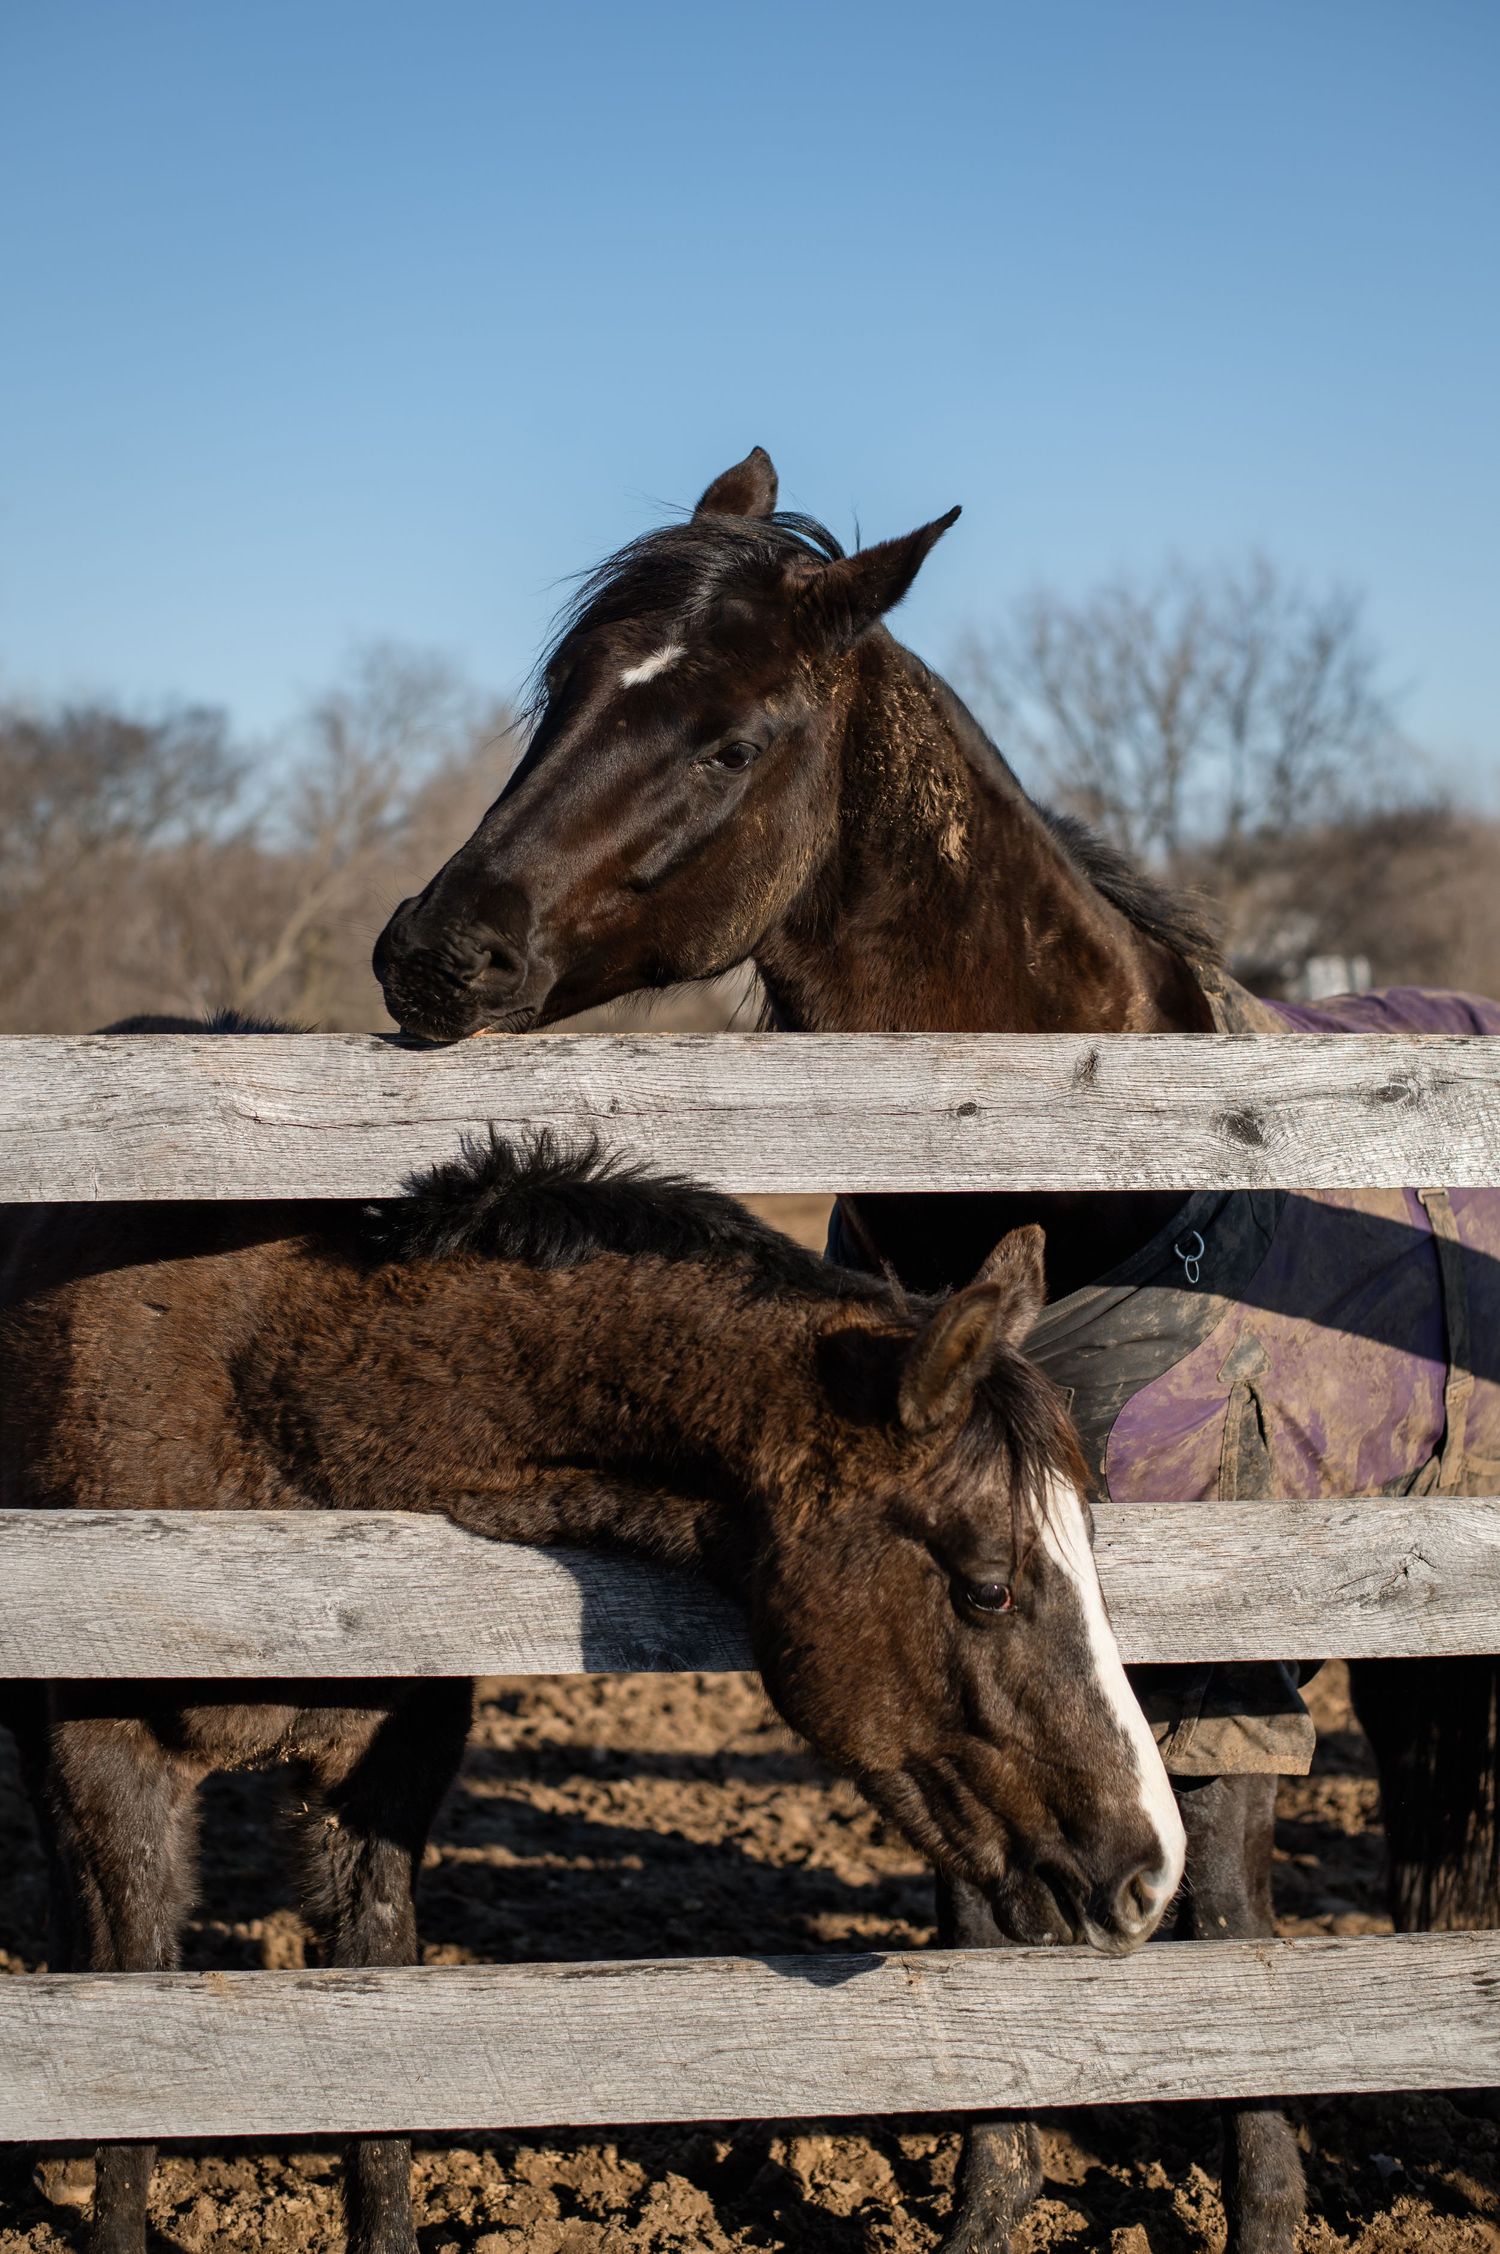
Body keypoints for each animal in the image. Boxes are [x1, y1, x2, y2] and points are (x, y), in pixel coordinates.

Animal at [0, 1025, 1185, 2254]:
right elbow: (130, 2036)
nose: (1152, 1872)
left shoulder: (379, 1775)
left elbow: (375, 2053)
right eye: (990, 1588)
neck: (272, 1407)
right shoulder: (106, 1755)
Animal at [374, 446, 1500, 2254]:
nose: (433, 948)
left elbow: (1228, 1913)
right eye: (561, 692)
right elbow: (991, 1897)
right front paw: (986, 2202)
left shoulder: (1238, 1648)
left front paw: (1263, 2202)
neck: (1088, 1171)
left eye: (733, 739)